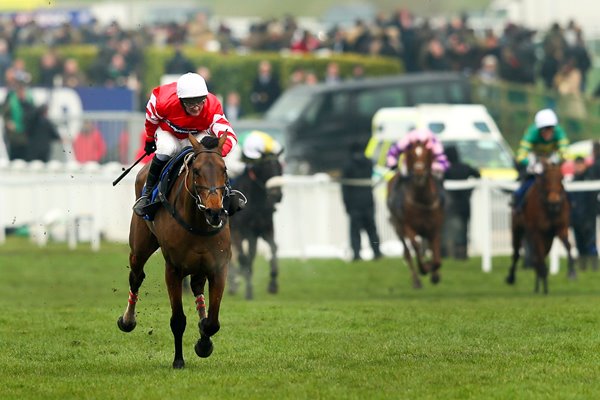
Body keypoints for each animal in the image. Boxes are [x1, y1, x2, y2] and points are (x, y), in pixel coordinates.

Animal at [118, 134, 232, 368]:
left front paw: (203, 342)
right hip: (140, 246)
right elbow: (178, 320)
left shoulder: (218, 268)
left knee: (197, 286)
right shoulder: (173, 269)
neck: (199, 222)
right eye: (196, 170)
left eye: (224, 169)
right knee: (136, 276)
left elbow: (212, 322)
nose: (215, 212)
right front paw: (178, 360)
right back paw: (127, 320)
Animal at [386, 128, 448, 288]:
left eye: (428, 153)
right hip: (398, 227)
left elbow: (436, 256)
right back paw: (416, 280)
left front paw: (435, 274)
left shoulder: (434, 227)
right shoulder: (408, 226)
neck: (422, 200)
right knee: (408, 252)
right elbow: (415, 246)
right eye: (412, 154)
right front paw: (424, 268)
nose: (419, 173)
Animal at [506, 156, 576, 294]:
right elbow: (538, 255)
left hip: (548, 238)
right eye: (545, 179)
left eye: (561, 178)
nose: (554, 202)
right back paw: (512, 278)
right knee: (517, 254)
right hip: (517, 229)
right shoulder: (537, 231)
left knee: (539, 256)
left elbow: (568, 245)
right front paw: (543, 275)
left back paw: (539, 283)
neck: (549, 208)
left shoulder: (560, 228)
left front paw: (571, 272)